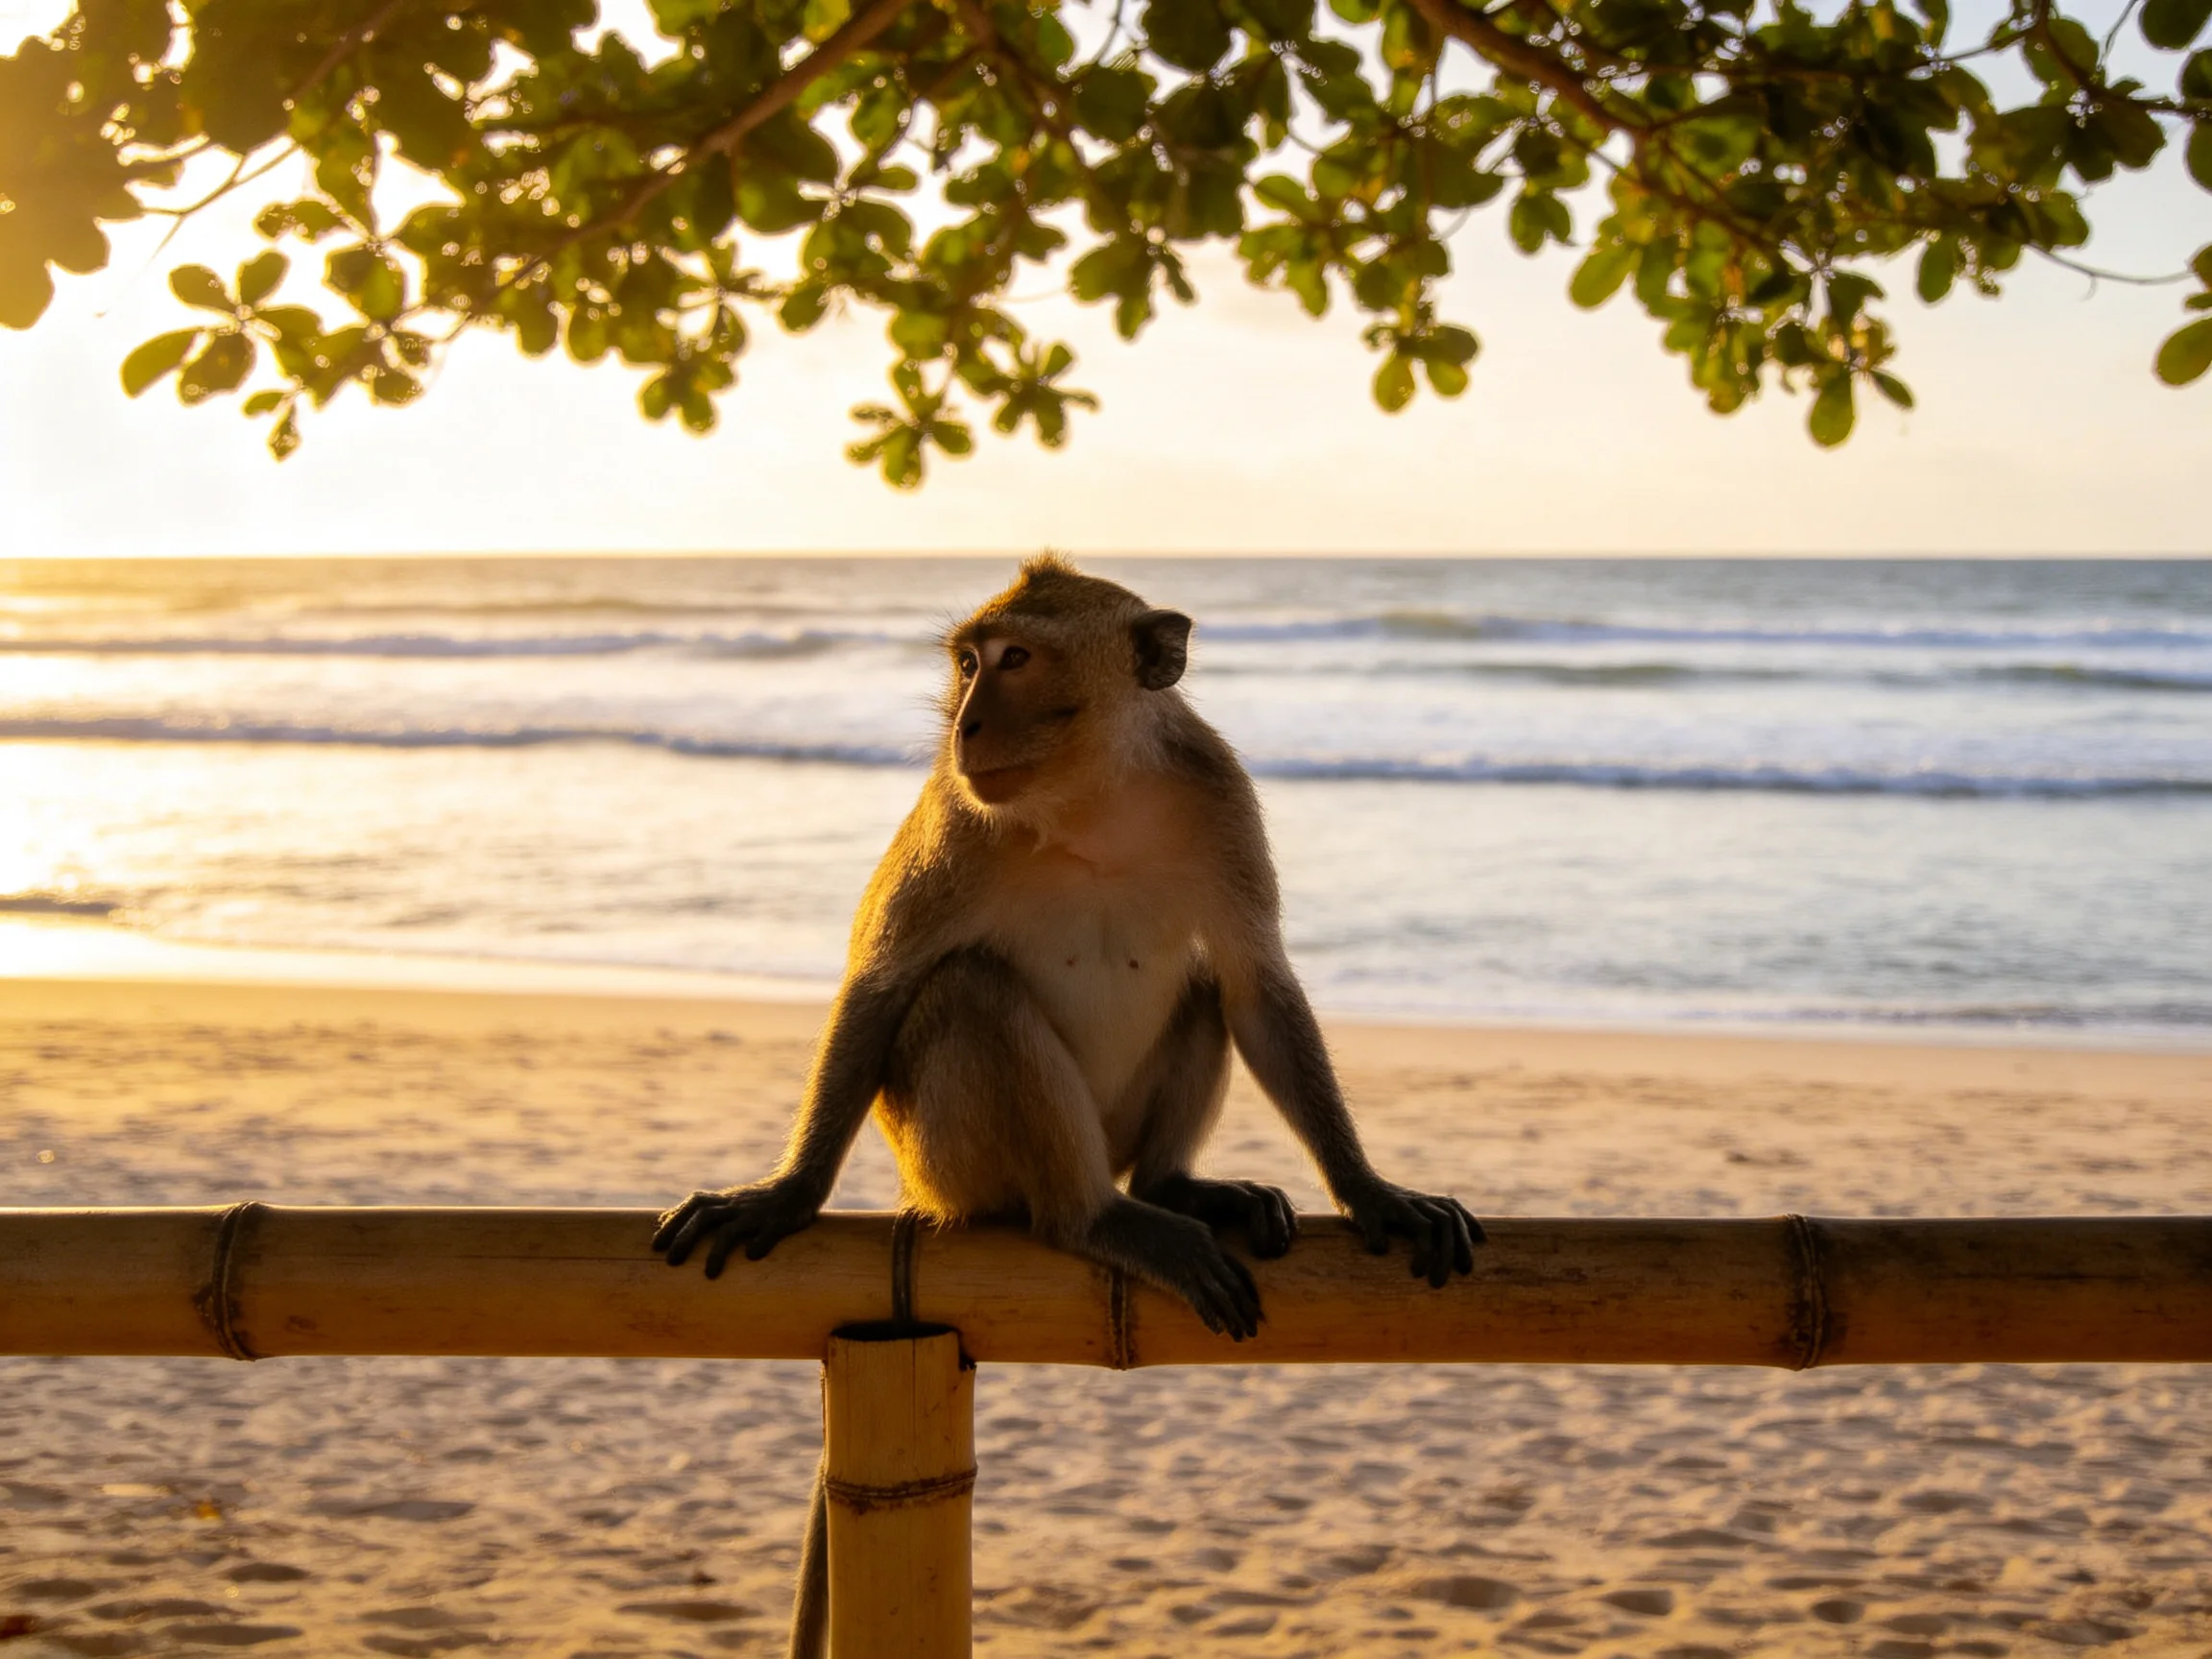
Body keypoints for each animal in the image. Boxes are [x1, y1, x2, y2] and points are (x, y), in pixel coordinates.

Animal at [653, 555, 1481, 1657]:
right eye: (968, 663)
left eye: (1015, 660)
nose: (964, 723)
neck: (1091, 800)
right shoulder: (956, 818)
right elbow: (881, 983)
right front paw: (784, 1195)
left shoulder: (1220, 799)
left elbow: (1257, 987)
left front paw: (1371, 1190)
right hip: (955, 1159)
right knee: (971, 993)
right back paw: (1097, 1217)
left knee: (1201, 984)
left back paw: (1177, 1187)